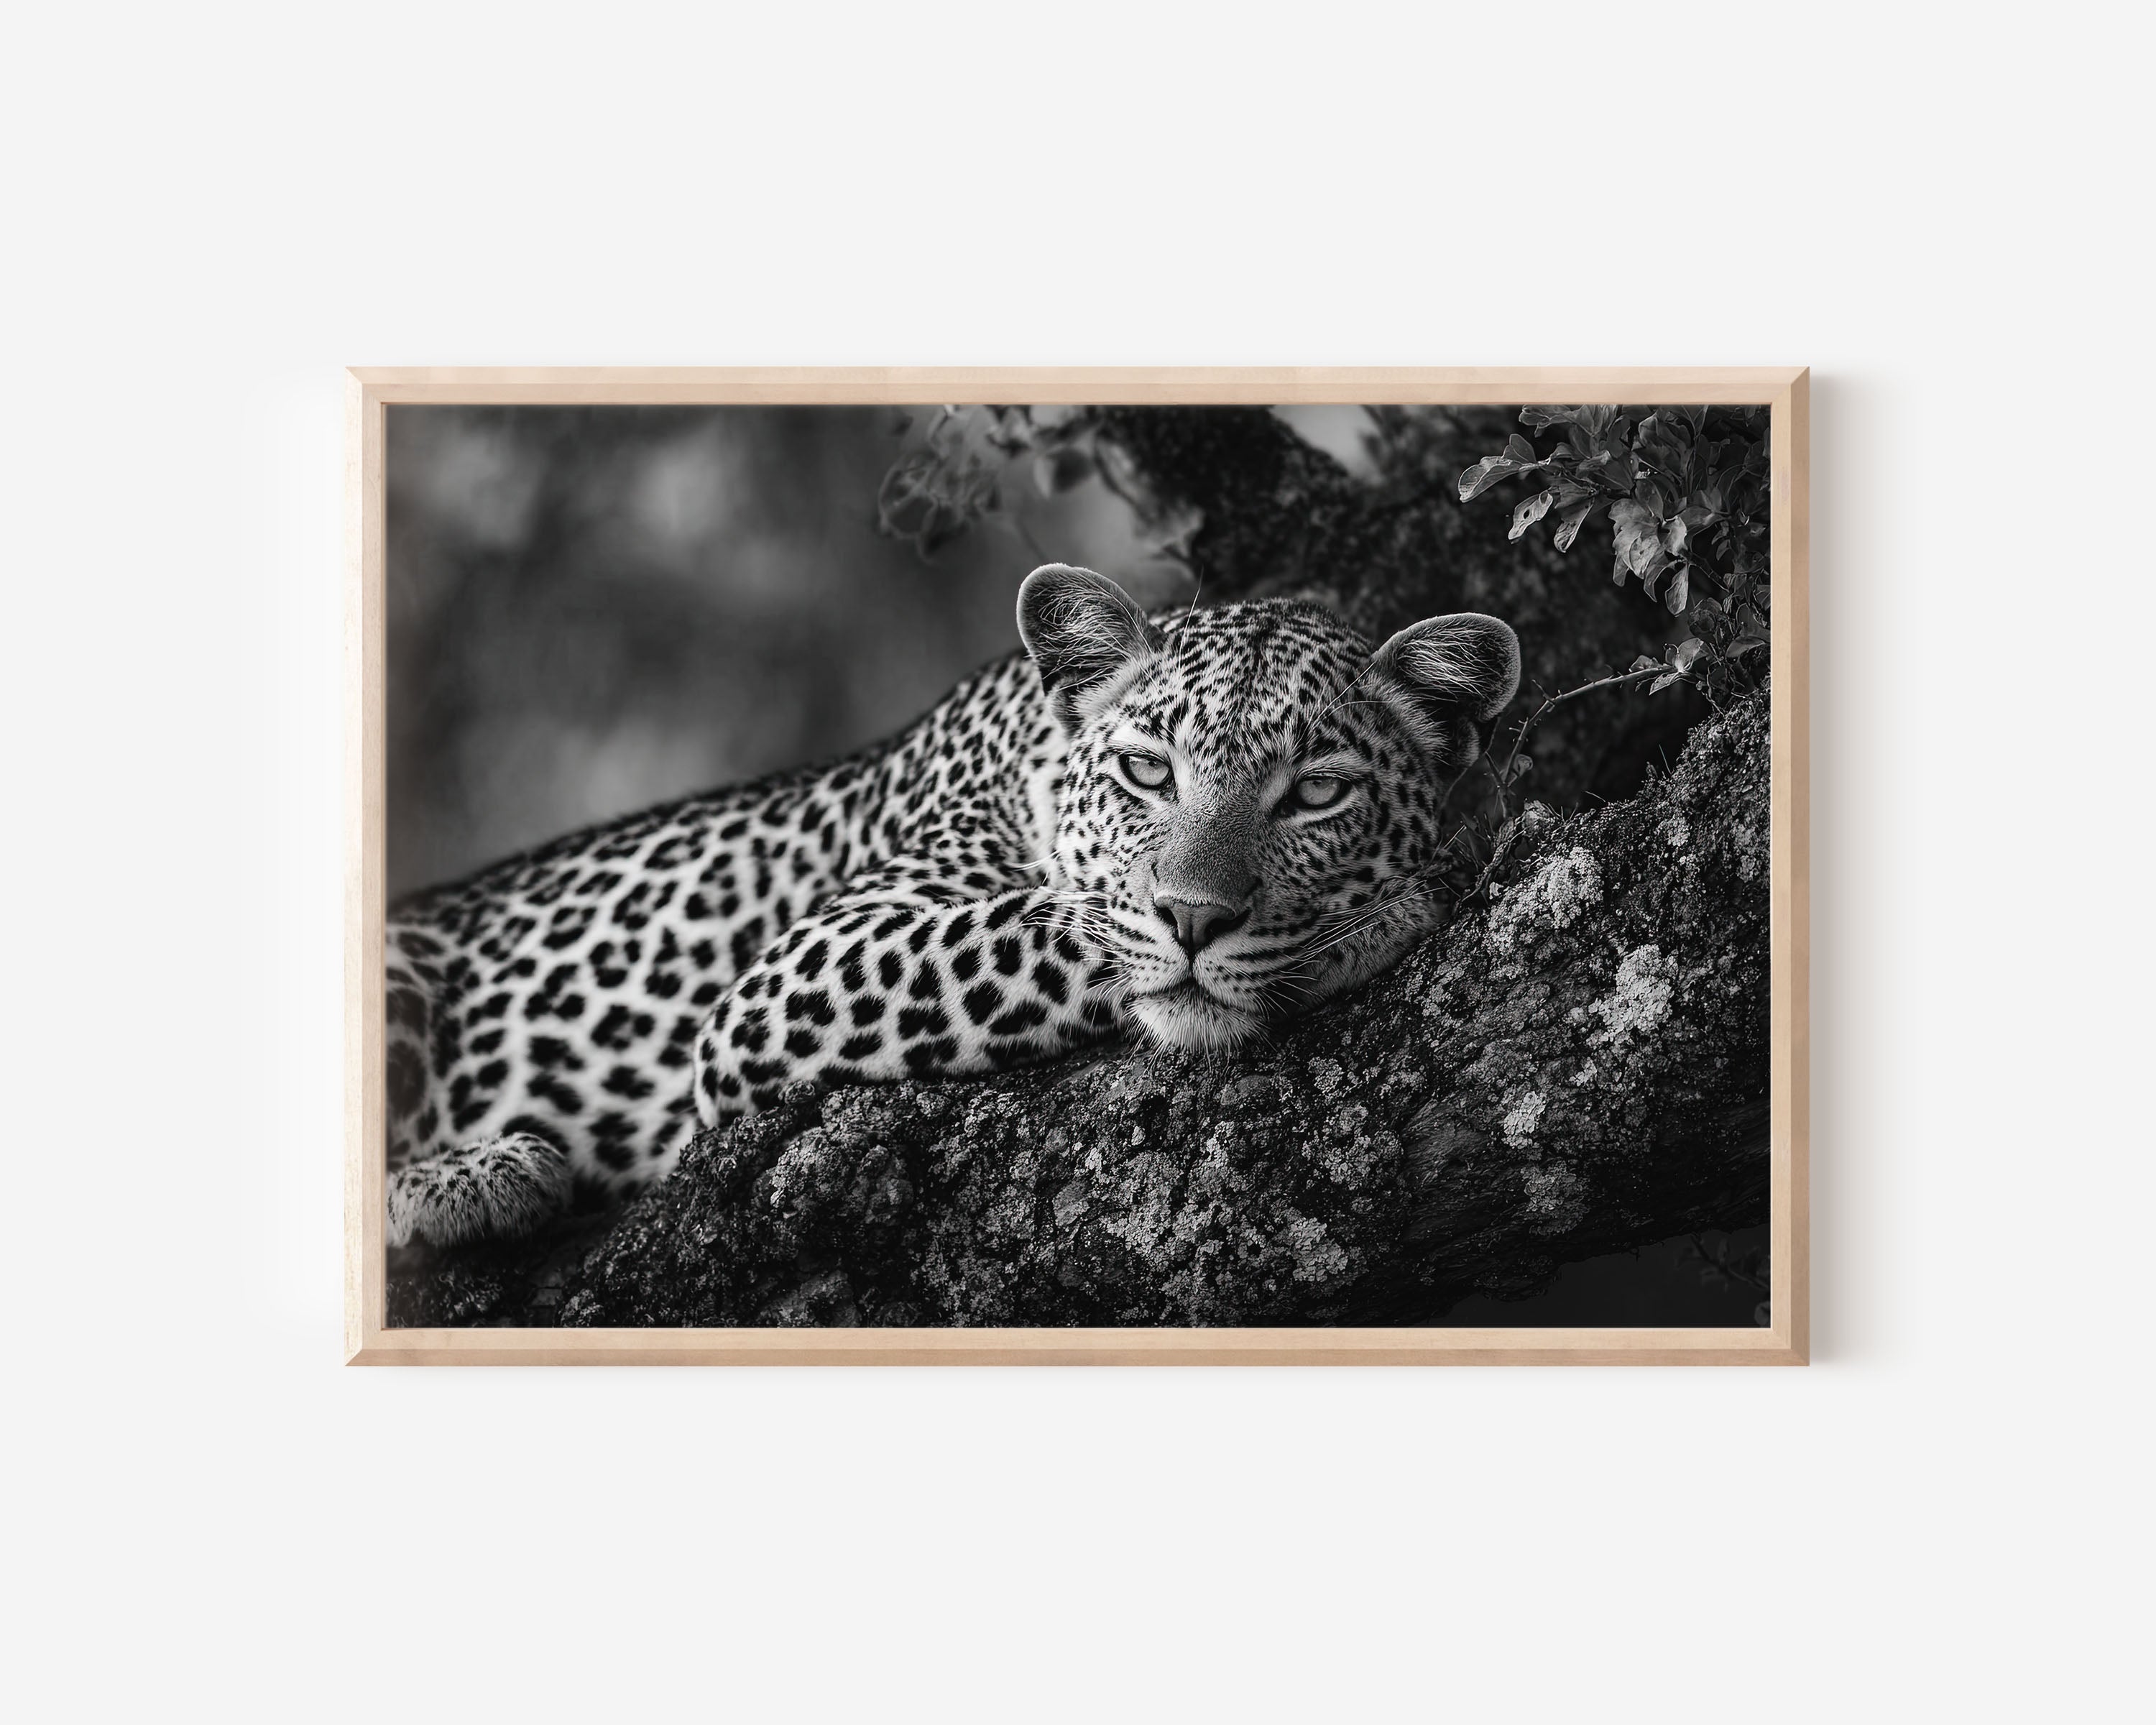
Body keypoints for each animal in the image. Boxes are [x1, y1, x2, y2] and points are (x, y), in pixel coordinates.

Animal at [384, 564, 1520, 1248]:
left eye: (1317, 794)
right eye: (1148, 772)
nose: (1197, 919)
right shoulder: (791, 975)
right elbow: (1059, 928)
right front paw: (1380, 916)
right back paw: (473, 1179)